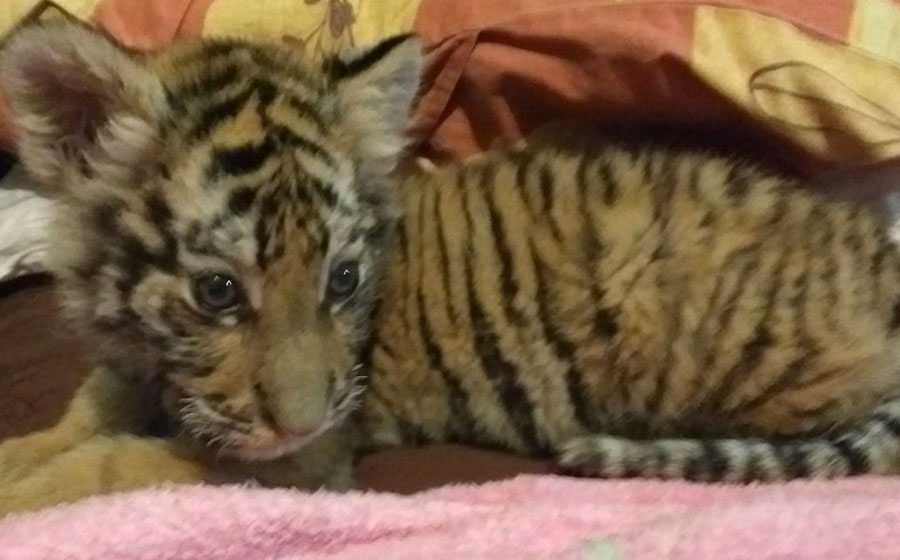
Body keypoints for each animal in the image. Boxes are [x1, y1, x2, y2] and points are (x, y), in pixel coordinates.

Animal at [2, 20, 900, 518]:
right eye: (217, 291)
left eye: (342, 280)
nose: (304, 419)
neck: (155, 356)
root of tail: (879, 250)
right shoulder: (134, 372)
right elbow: (81, 420)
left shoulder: (297, 462)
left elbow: (116, 461)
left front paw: (22, 497)